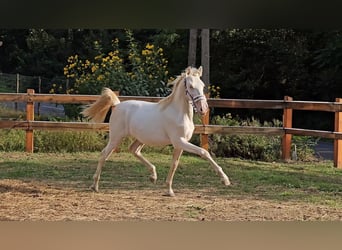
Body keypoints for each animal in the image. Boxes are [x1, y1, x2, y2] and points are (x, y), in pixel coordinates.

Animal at [83, 66, 231, 195]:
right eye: (190, 86)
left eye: (202, 86)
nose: (203, 109)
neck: (179, 113)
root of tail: (117, 105)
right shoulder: (179, 142)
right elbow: (204, 152)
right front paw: (225, 180)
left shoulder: (180, 145)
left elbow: (174, 164)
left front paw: (169, 190)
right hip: (116, 137)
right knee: (104, 155)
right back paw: (94, 186)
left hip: (140, 138)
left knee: (133, 150)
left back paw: (153, 176)